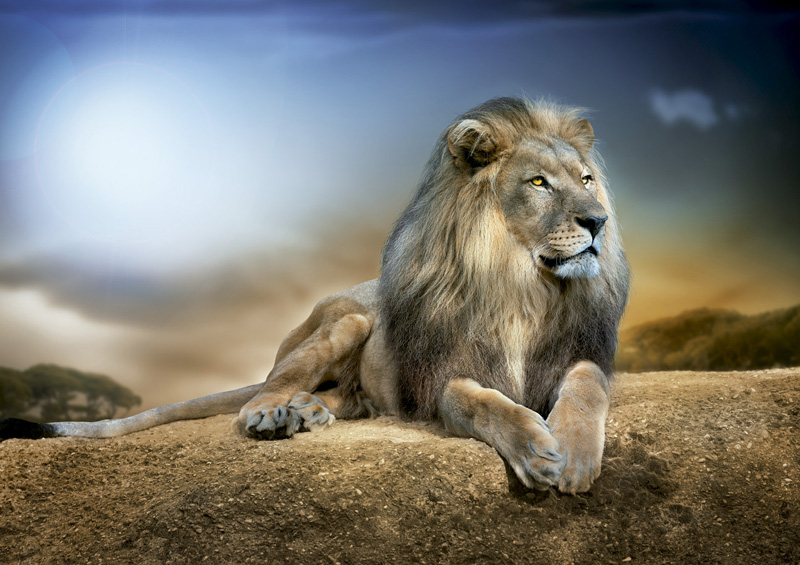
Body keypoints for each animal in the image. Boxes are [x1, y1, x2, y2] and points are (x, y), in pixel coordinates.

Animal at [1, 97, 629, 494]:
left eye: (587, 180)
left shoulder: (580, 354)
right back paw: (276, 415)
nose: (597, 222)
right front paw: (536, 449)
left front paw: (573, 454)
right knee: (263, 391)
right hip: (346, 322)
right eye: (539, 183)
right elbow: (485, 403)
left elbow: (585, 387)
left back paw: (311, 412)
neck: (523, 286)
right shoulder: (441, 379)